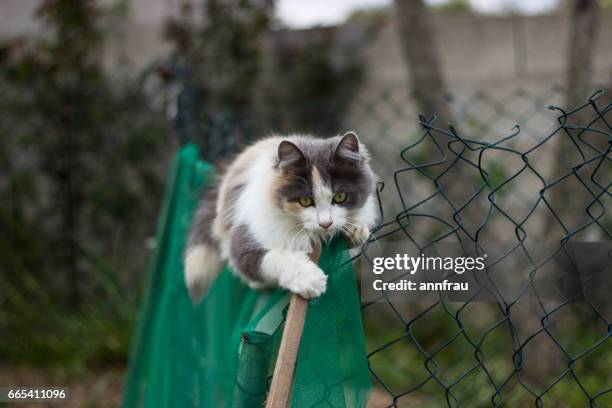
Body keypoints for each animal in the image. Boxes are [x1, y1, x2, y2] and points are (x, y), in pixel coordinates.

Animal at [184, 131, 380, 302]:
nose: (326, 223)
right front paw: (309, 279)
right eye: (305, 200)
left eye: (340, 197)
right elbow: (275, 257)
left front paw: (357, 231)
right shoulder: (243, 241)